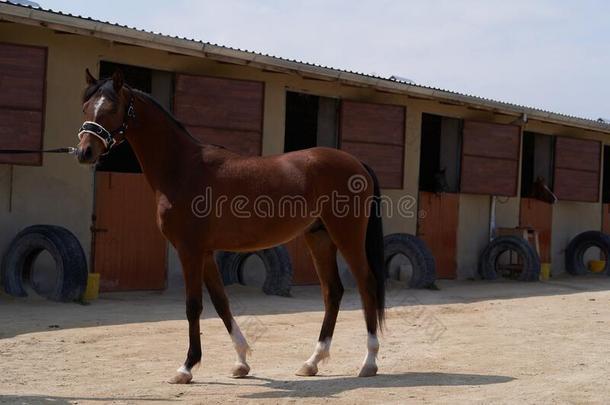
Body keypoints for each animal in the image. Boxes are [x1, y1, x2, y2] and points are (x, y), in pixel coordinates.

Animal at [73, 69, 382, 382]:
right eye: (86, 107)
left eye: (111, 108)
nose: (84, 151)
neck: (182, 168)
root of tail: (357, 162)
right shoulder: (207, 252)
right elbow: (221, 303)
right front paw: (241, 362)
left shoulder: (189, 250)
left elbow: (193, 305)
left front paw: (186, 367)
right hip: (319, 237)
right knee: (333, 292)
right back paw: (312, 362)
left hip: (347, 236)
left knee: (366, 285)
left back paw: (368, 362)